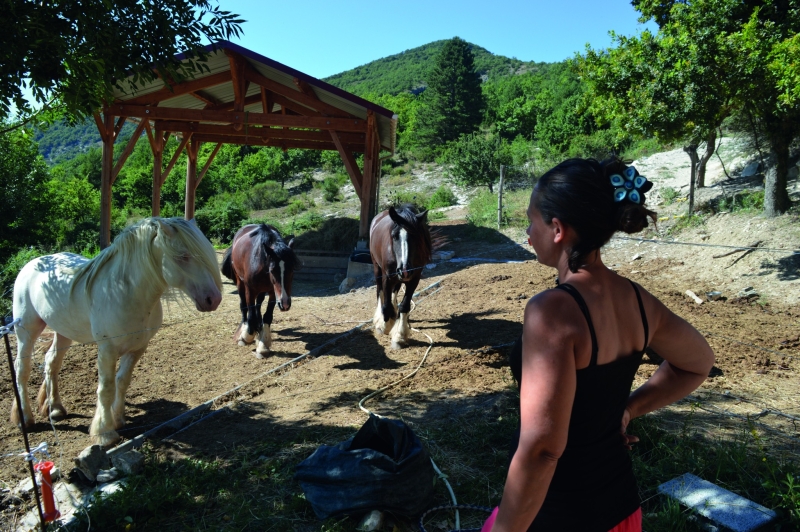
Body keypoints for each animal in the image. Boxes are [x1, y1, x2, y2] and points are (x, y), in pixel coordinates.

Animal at [10, 218, 222, 446]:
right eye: (182, 256)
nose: (213, 299)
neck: (124, 292)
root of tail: (34, 263)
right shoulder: (107, 350)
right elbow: (106, 388)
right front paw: (105, 432)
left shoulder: (138, 348)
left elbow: (123, 381)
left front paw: (118, 419)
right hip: (26, 332)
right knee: (22, 369)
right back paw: (25, 418)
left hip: (63, 332)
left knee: (51, 363)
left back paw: (56, 409)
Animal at [220, 222, 298, 360]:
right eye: (272, 270)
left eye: (292, 269)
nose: (285, 303)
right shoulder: (250, 290)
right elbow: (250, 312)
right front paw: (247, 336)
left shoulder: (273, 292)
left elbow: (267, 315)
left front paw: (263, 345)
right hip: (240, 284)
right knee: (244, 306)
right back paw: (245, 328)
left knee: (259, 304)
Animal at [368, 205, 432, 350]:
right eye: (394, 236)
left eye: (415, 235)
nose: (404, 270)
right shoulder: (387, 277)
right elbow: (386, 304)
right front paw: (384, 325)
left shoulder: (414, 279)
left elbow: (404, 305)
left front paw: (400, 336)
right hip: (377, 267)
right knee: (380, 291)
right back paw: (381, 318)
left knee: (395, 291)